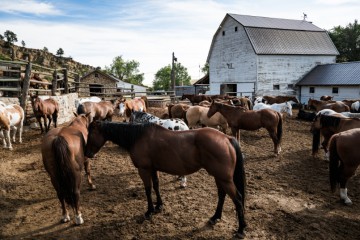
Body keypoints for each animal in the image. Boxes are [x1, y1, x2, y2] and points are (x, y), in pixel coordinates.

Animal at [84, 122, 248, 238]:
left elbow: (148, 189)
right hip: (219, 177)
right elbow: (156, 186)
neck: (138, 137)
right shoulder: (153, 169)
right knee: (222, 195)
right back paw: (215, 217)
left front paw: (149, 211)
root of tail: (227, 138)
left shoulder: (144, 170)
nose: (87, 153)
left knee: (238, 199)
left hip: (224, 179)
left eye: (90, 133)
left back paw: (240, 229)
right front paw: (159, 206)